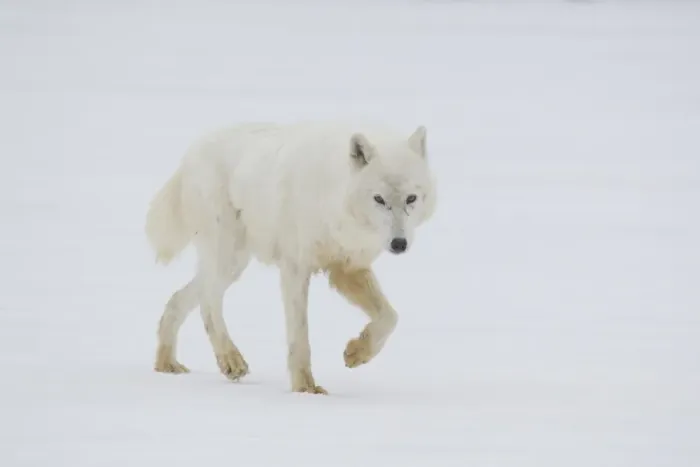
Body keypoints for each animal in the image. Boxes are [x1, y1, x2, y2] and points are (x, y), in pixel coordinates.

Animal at [145, 121, 437, 394]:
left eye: (411, 198)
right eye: (379, 199)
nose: (399, 244)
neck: (332, 197)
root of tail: (190, 153)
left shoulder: (347, 269)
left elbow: (390, 317)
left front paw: (357, 353)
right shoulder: (295, 267)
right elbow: (300, 335)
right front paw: (305, 388)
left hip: (234, 265)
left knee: (180, 299)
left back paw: (167, 364)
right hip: (226, 255)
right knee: (208, 301)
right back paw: (230, 359)